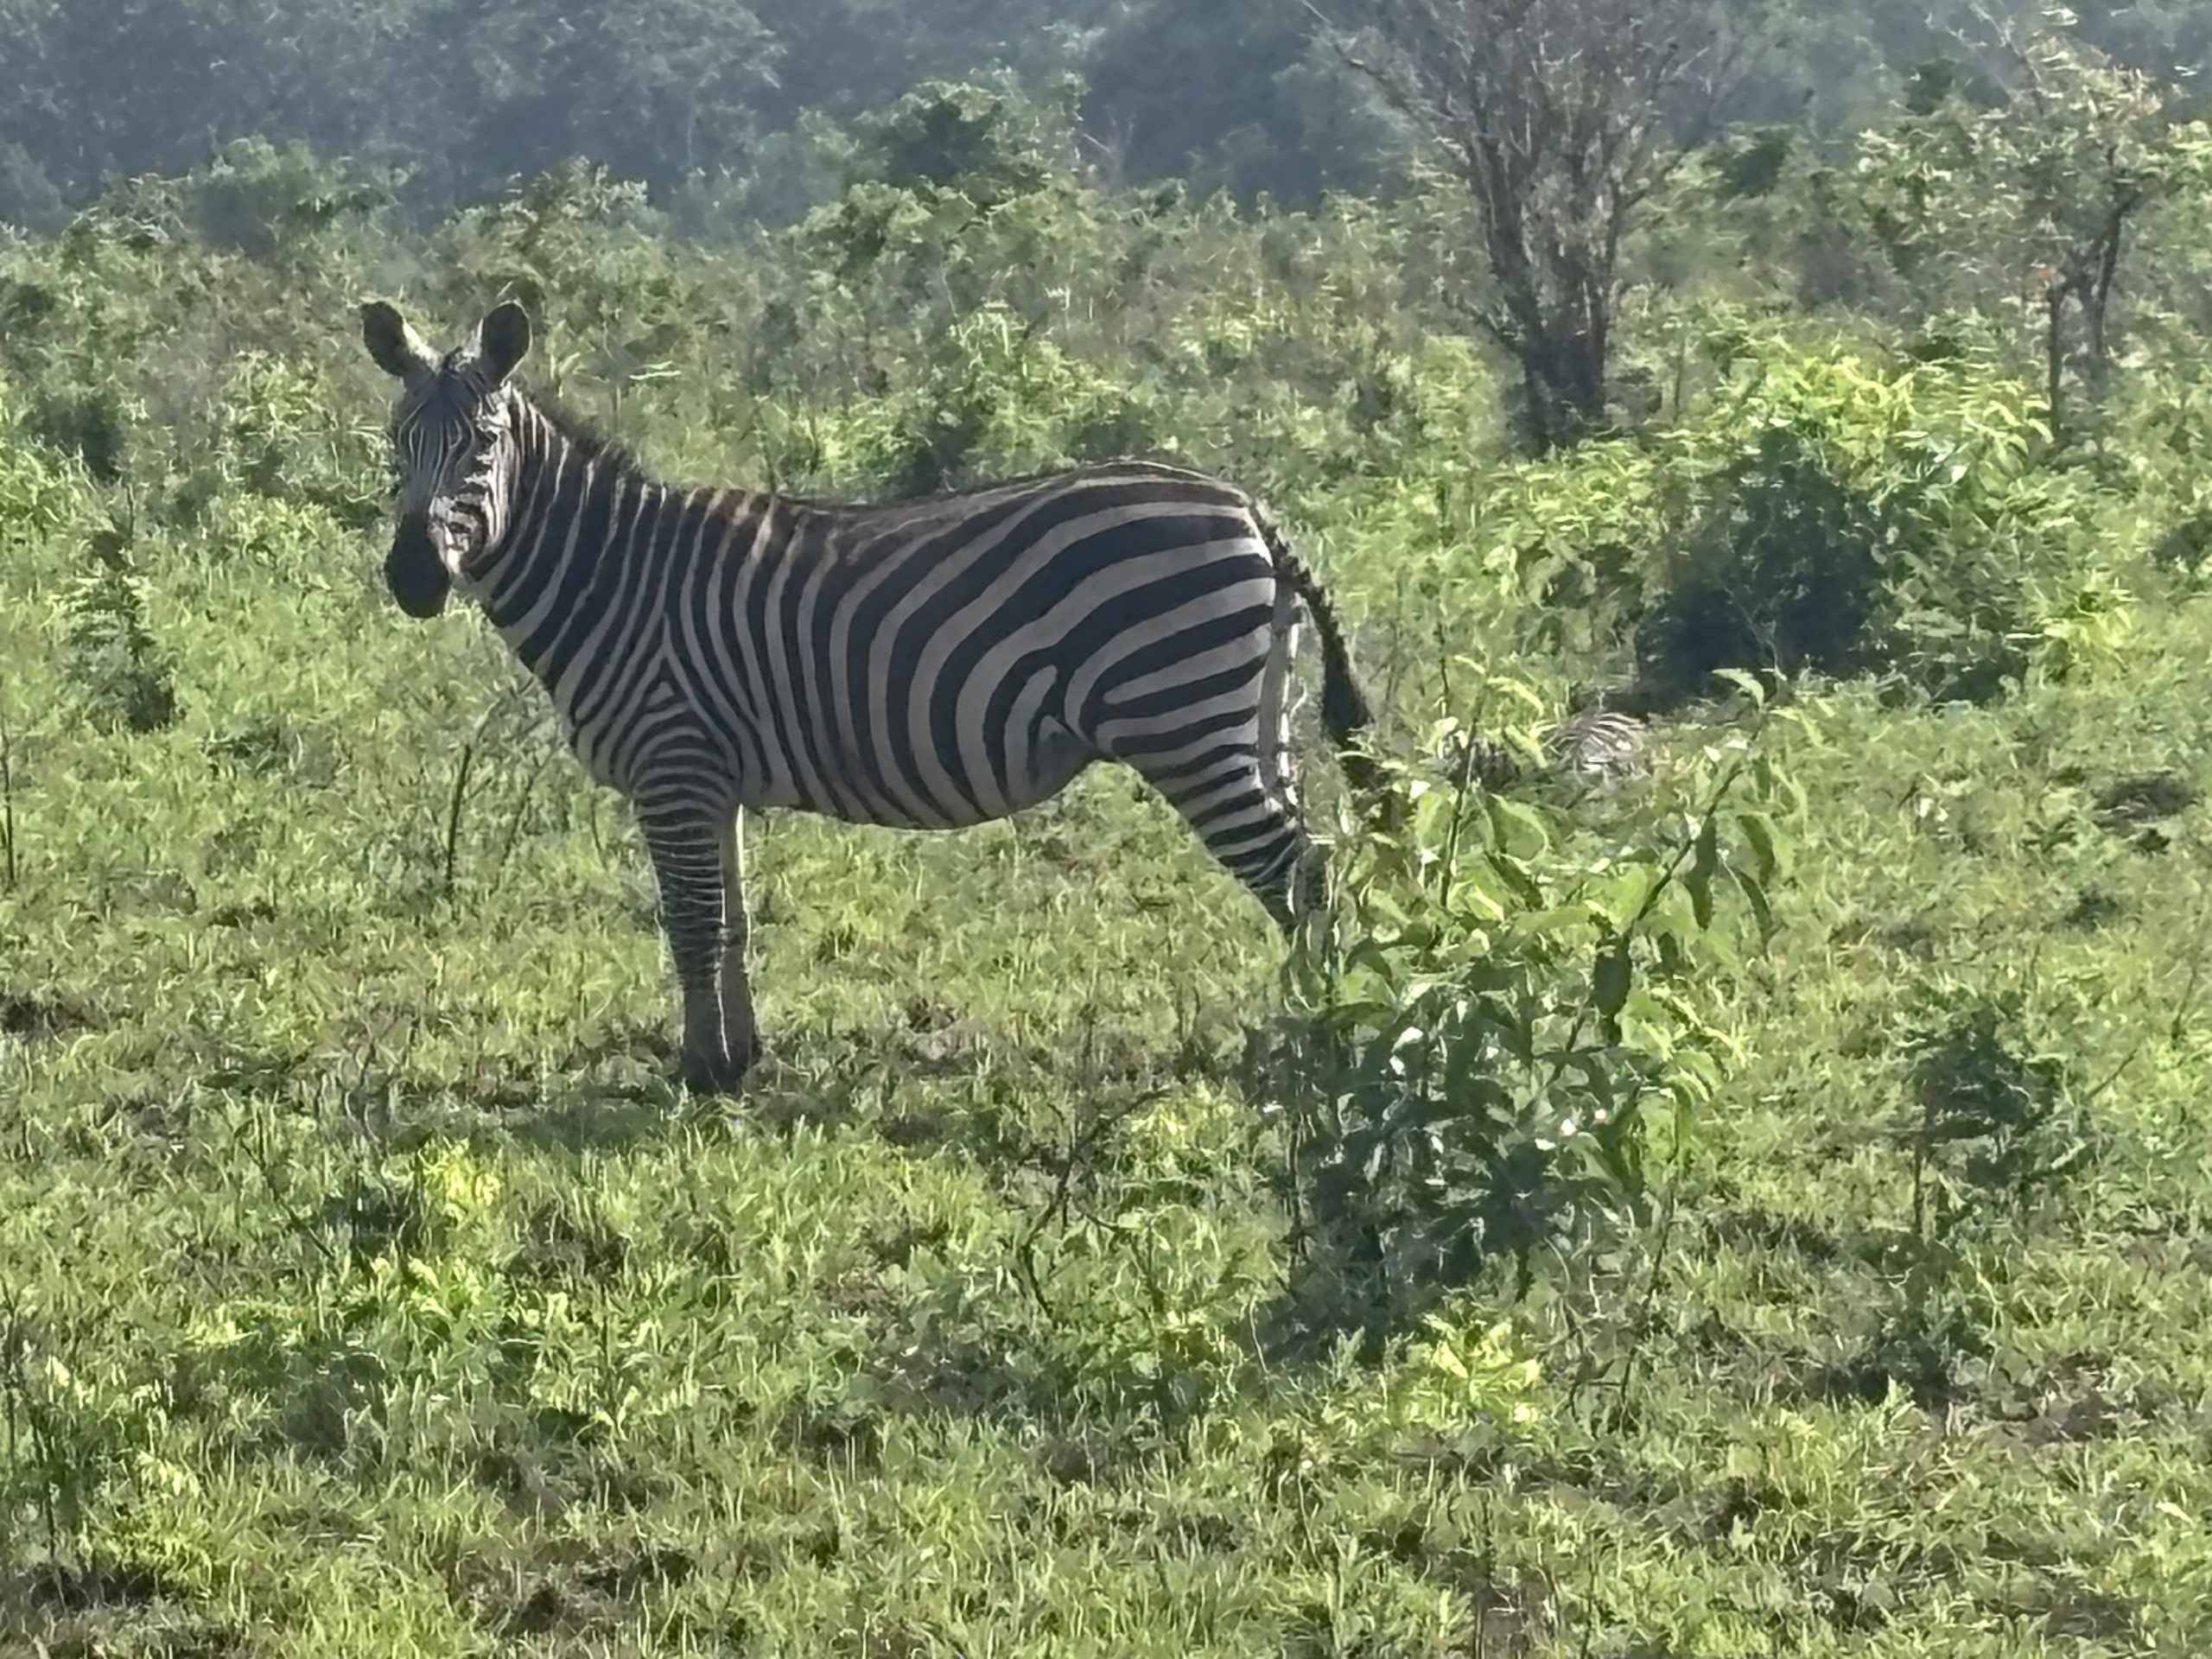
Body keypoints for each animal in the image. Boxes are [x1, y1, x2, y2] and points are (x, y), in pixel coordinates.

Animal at [362, 300, 1383, 1092]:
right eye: (394, 444)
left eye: (483, 444)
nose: (412, 579)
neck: (613, 576)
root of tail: (1250, 507)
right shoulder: (713, 780)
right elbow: (733, 922)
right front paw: (740, 1058)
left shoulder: (672, 765)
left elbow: (691, 923)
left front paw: (698, 1073)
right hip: (1250, 719)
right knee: (1314, 861)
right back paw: (1310, 1026)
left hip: (1184, 720)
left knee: (1296, 873)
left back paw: (1321, 1037)